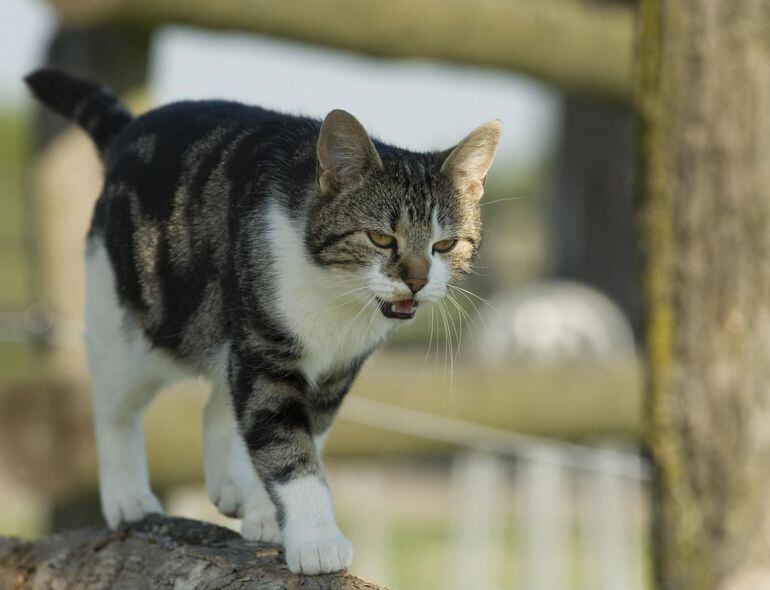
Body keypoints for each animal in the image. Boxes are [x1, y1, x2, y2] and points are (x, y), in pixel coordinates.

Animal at [25, 69, 498, 580]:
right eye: (380, 238)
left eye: (445, 245)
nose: (417, 280)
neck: (337, 297)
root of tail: (130, 129)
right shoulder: (265, 348)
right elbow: (285, 444)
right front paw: (316, 540)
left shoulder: (334, 373)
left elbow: (302, 436)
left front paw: (269, 515)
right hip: (129, 321)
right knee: (114, 406)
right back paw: (127, 498)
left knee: (216, 400)